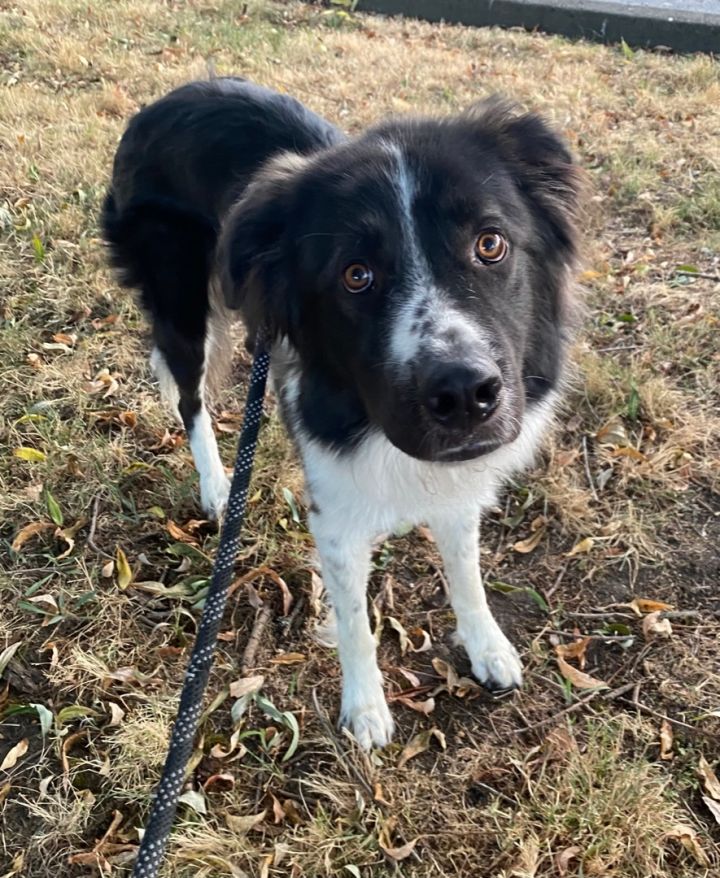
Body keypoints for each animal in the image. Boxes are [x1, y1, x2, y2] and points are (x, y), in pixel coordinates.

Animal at [101, 77, 584, 748]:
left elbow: (465, 569)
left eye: (490, 244)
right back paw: (218, 486)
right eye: (357, 276)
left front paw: (487, 646)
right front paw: (366, 709)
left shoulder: (457, 487)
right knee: (190, 397)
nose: (464, 394)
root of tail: (166, 99)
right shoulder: (335, 517)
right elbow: (354, 619)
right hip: (182, 303)